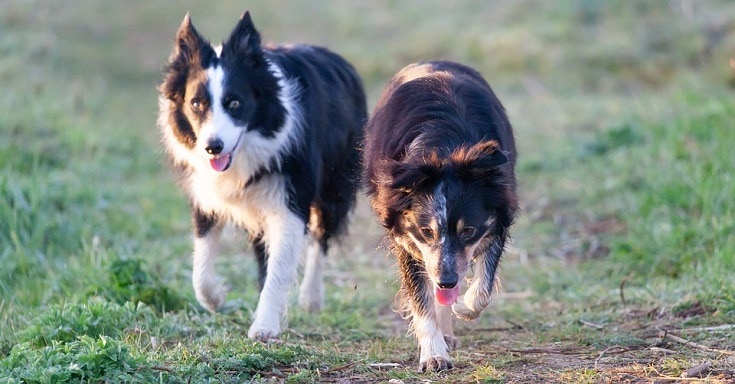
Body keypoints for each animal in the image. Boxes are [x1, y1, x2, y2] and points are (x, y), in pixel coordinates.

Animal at [160, 12, 368, 340]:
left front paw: (265, 326)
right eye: (196, 104)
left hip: (336, 179)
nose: (212, 147)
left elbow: (281, 266)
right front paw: (216, 299)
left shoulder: (291, 194)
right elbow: (201, 265)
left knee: (322, 235)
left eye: (235, 102)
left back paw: (311, 298)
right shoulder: (206, 193)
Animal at [364, 61, 516, 370]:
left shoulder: (498, 207)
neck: (445, 147)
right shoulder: (404, 233)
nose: (447, 282)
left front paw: (462, 305)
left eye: (468, 231)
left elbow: (483, 286)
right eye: (426, 231)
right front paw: (434, 356)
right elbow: (420, 297)